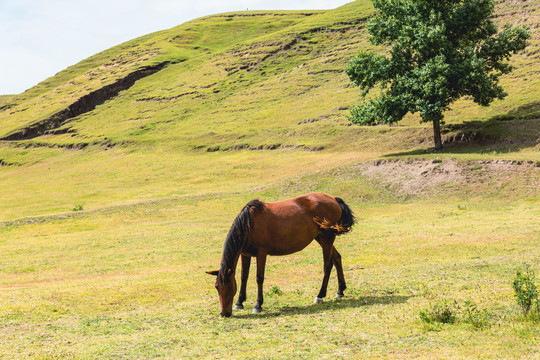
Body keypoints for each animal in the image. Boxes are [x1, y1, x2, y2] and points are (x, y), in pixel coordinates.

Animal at [207, 193, 354, 316]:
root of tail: (333, 199)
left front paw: (258, 305)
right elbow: (244, 277)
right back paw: (340, 291)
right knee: (337, 258)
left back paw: (320, 295)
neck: (249, 224)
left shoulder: (261, 253)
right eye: (217, 287)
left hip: (327, 237)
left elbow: (259, 278)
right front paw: (239, 303)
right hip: (321, 238)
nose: (224, 314)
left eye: (230, 287)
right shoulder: (245, 254)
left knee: (327, 265)